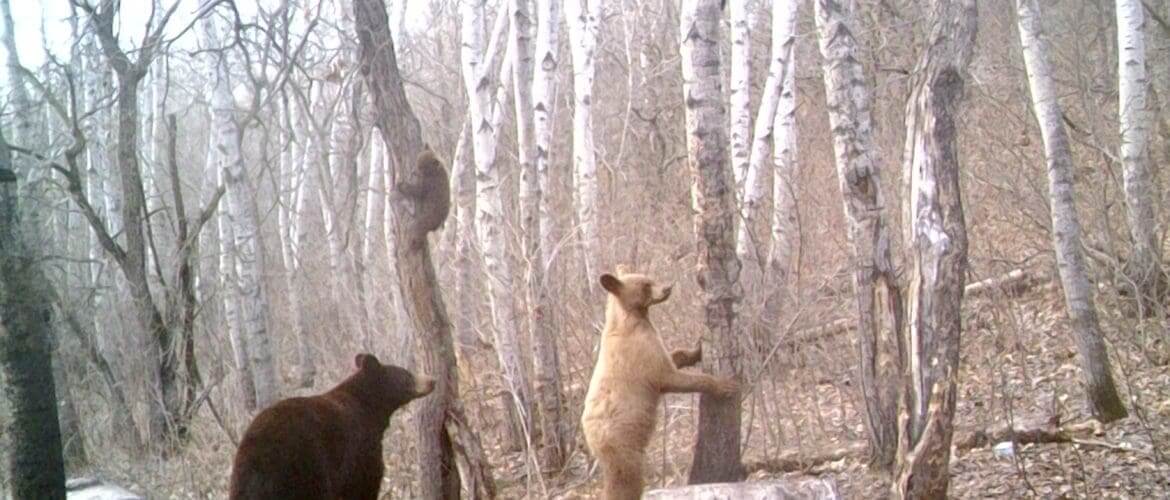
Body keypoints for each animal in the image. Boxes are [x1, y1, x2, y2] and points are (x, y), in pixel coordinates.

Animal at [228, 353, 435, 498]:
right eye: (407, 374)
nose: (432, 380)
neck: (369, 407)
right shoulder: (362, 448)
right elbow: (365, 482)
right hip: (306, 470)